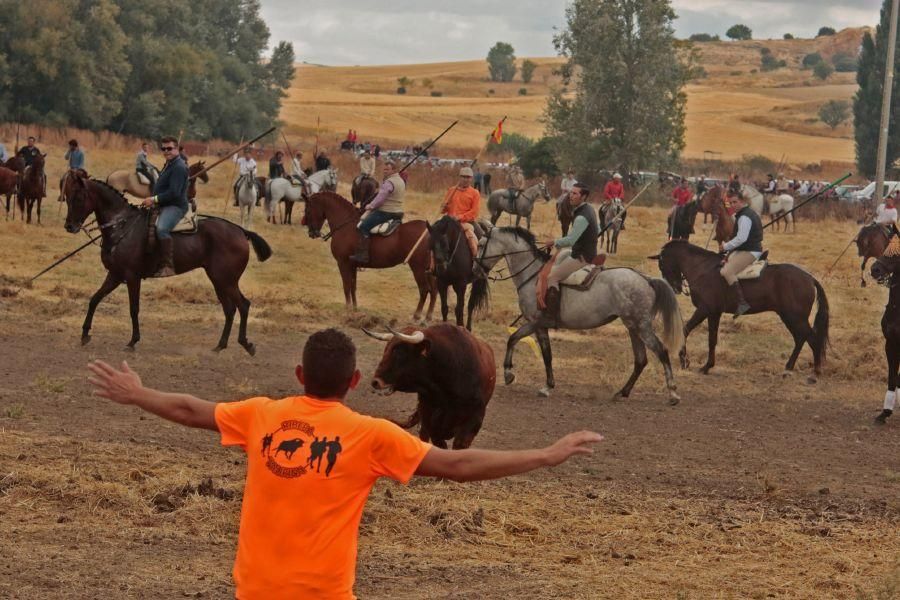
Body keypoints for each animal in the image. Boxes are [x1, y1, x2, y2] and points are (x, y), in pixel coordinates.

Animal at [61, 171, 270, 352]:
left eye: (78, 198)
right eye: (67, 197)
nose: (69, 226)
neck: (122, 226)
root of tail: (241, 231)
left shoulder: (132, 277)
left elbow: (134, 309)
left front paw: (133, 341)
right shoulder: (115, 275)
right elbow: (94, 299)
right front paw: (85, 334)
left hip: (226, 280)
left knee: (243, 305)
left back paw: (246, 344)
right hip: (219, 280)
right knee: (230, 309)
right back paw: (220, 346)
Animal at [302, 192, 436, 324]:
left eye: (308, 210)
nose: (311, 233)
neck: (346, 225)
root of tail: (429, 231)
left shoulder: (343, 263)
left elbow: (346, 286)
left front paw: (347, 309)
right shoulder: (352, 265)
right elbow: (353, 286)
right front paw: (355, 309)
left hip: (418, 268)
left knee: (424, 289)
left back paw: (416, 316)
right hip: (429, 270)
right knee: (434, 291)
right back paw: (428, 317)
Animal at [472, 225, 684, 404]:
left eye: (481, 244)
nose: (475, 270)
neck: (533, 275)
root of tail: (646, 279)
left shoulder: (535, 322)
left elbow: (516, 340)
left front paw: (510, 374)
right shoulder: (540, 325)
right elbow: (542, 353)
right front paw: (545, 385)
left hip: (641, 326)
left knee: (661, 351)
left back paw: (673, 393)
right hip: (633, 327)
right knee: (641, 360)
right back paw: (622, 392)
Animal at [648, 239, 828, 380]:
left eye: (661, 265)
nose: (676, 288)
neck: (702, 268)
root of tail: (809, 277)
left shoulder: (705, 309)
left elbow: (685, 330)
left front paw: (685, 361)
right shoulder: (714, 313)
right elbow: (712, 339)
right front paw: (707, 366)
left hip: (795, 317)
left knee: (811, 338)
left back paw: (815, 372)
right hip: (788, 316)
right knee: (801, 338)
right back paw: (789, 369)